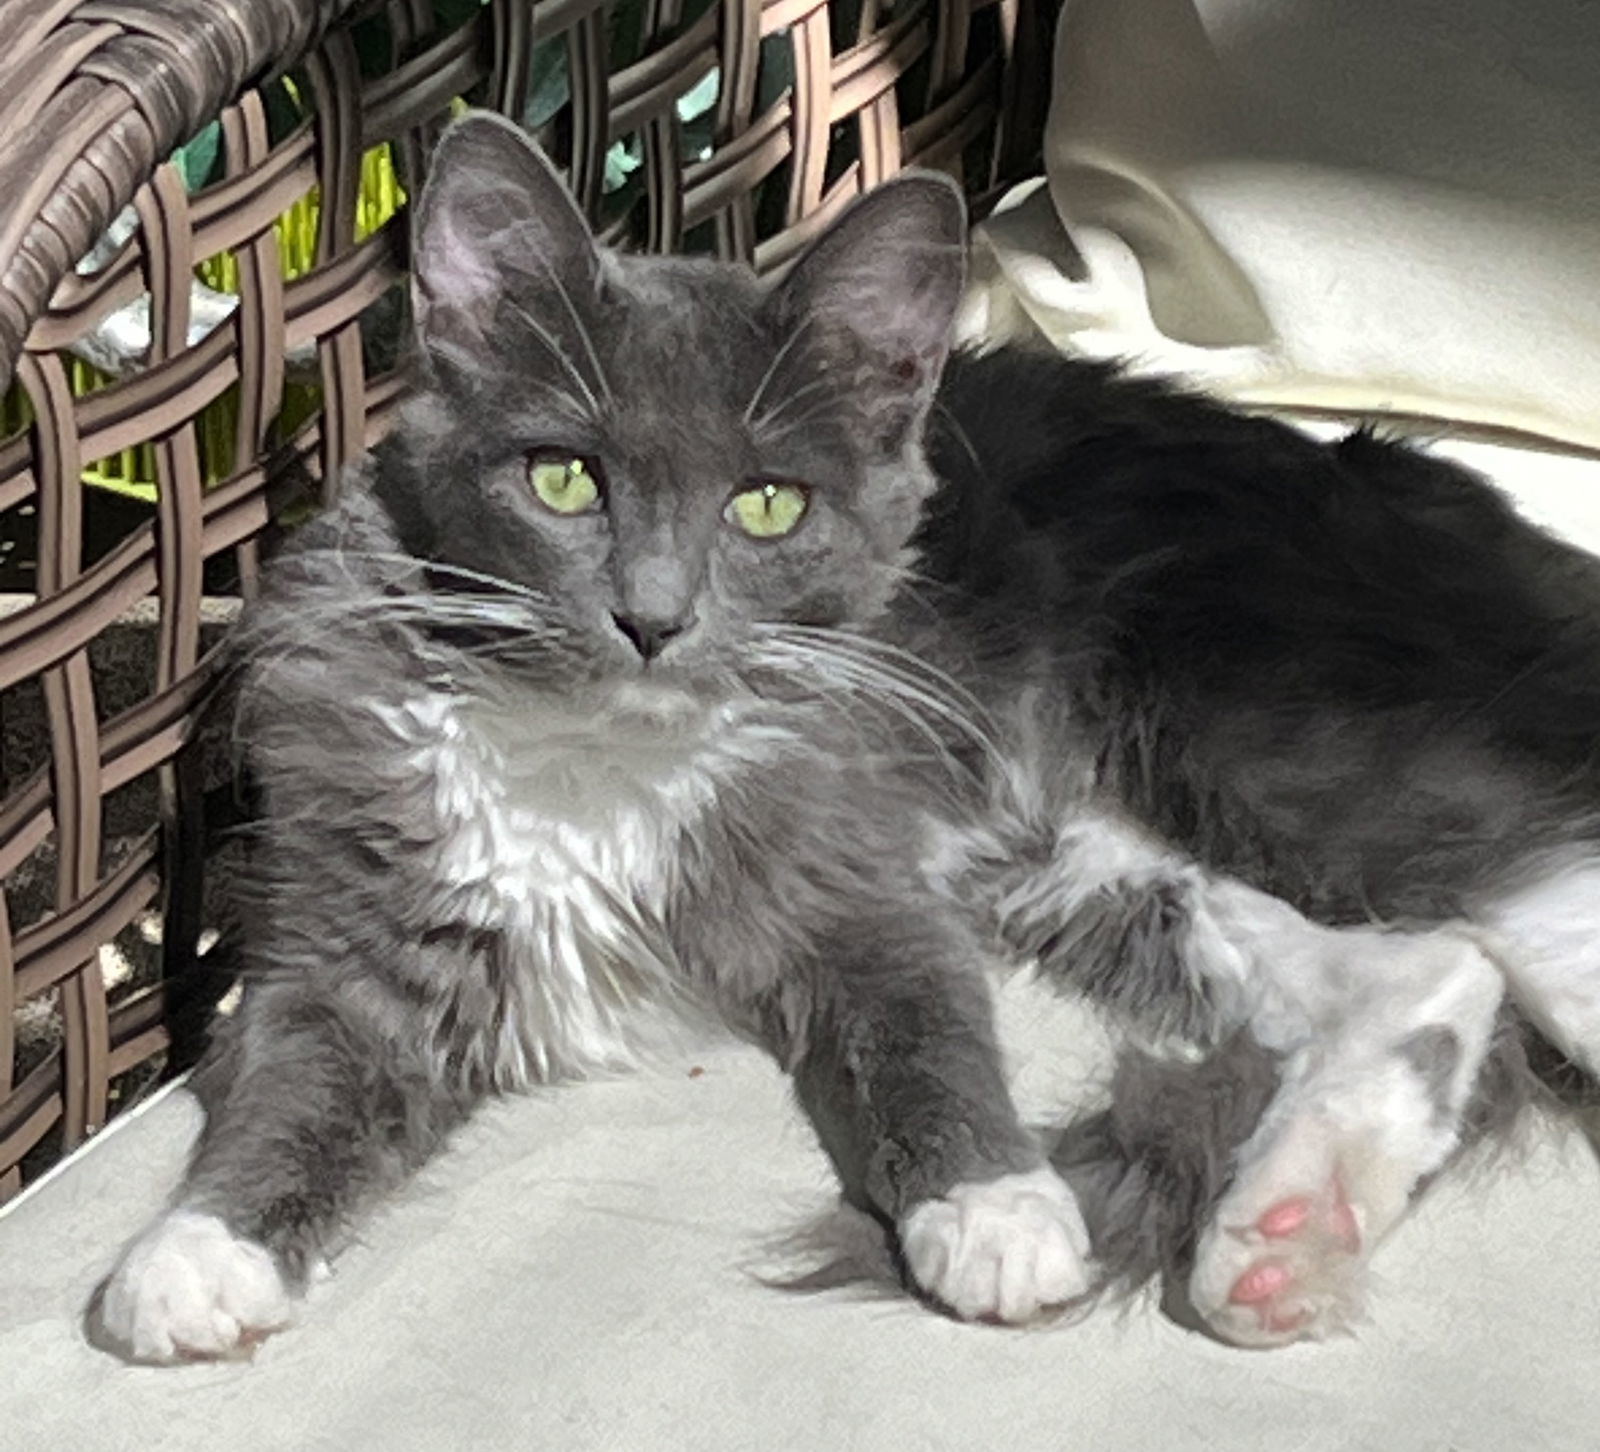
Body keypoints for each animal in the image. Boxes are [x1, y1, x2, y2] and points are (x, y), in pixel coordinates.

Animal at [90, 113, 1600, 1362]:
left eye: (766, 505)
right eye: (565, 477)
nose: (652, 619)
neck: (607, 758)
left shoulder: (864, 867)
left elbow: (924, 1031)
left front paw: (997, 1214)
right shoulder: (357, 929)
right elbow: (292, 1080)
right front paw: (191, 1258)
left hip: (1284, 740)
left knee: (1518, 912)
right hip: (1097, 858)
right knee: (1429, 969)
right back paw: (1284, 1235)